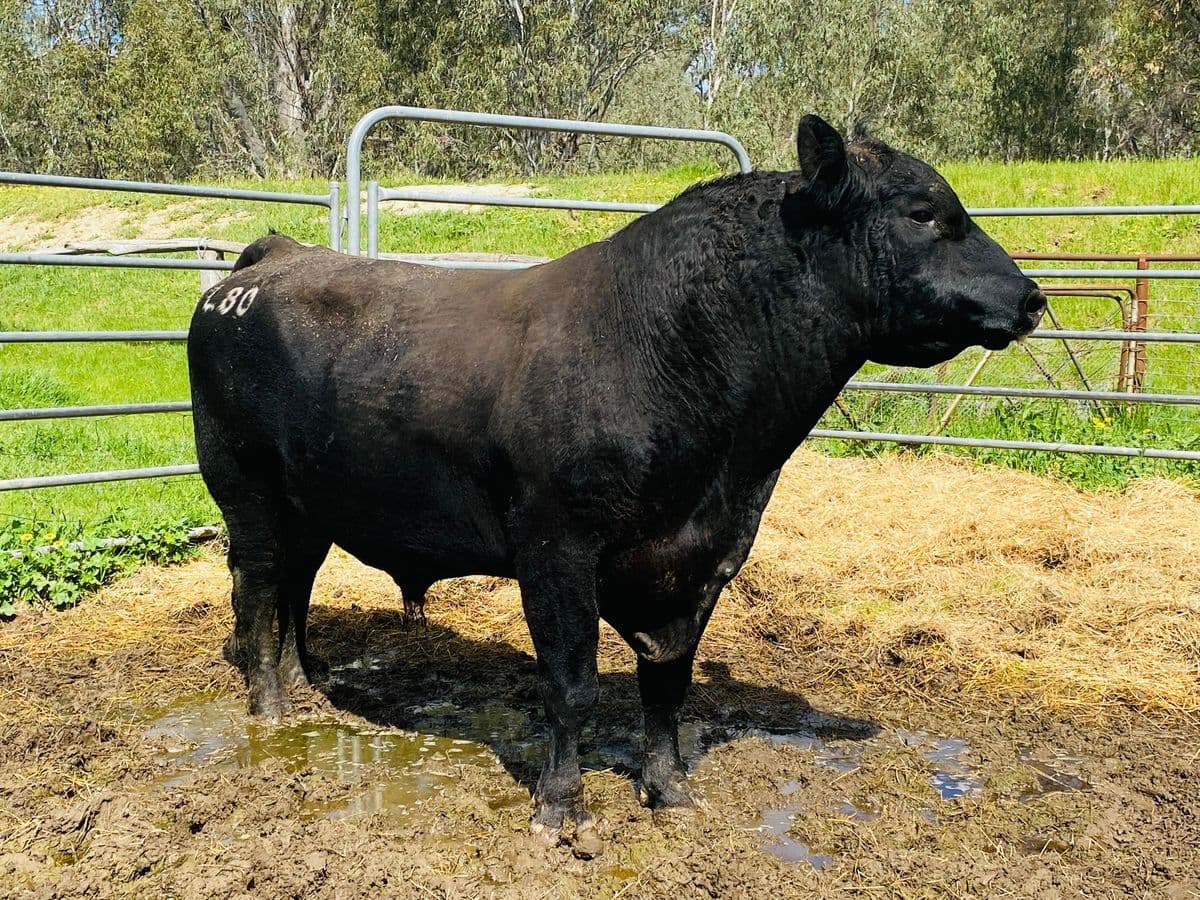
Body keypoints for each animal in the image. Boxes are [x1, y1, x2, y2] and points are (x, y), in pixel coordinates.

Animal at [187, 114, 1045, 854]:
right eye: (924, 213)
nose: (1033, 297)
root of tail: (274, 257)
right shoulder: (557, 551)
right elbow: (572, 685)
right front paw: (561, 807)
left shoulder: (702, 561)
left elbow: (667, 685)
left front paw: (668, 790)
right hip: (246, 489)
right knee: (257, 586)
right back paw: (269, 707)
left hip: (312, 504)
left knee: (295, 587)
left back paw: (306, 684)